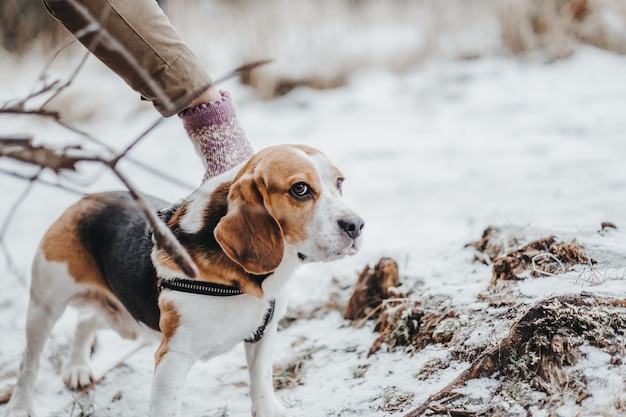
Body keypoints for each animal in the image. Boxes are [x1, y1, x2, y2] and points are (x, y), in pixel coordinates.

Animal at [7, 144, 364, 416]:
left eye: (340, 182)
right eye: (300, 189)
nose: (357, 225)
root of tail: (85, 199)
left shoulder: (264, 333)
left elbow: (261, 381)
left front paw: (269, 411)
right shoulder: (173, 356)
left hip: (125, 321)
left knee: (86, 321)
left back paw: (78, 368)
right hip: (45, 306)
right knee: (29, 362)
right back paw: (21, 406)